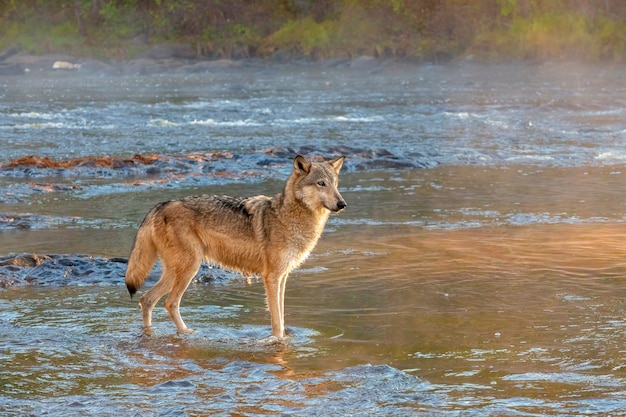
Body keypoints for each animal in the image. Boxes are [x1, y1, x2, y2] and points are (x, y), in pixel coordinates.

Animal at [123, 154, 344, 336]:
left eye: (335, 184)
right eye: (321, 183)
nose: (342, 204)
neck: (287, 216)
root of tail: (160, 205)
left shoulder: (282, 277)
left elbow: (281, 315)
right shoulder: (271, 277)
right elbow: (276, 321)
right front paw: (277, 341)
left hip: (176, 272)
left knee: (146, 300)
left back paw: (149, 333)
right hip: (189, 269)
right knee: (170, 303)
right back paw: (186, 333)